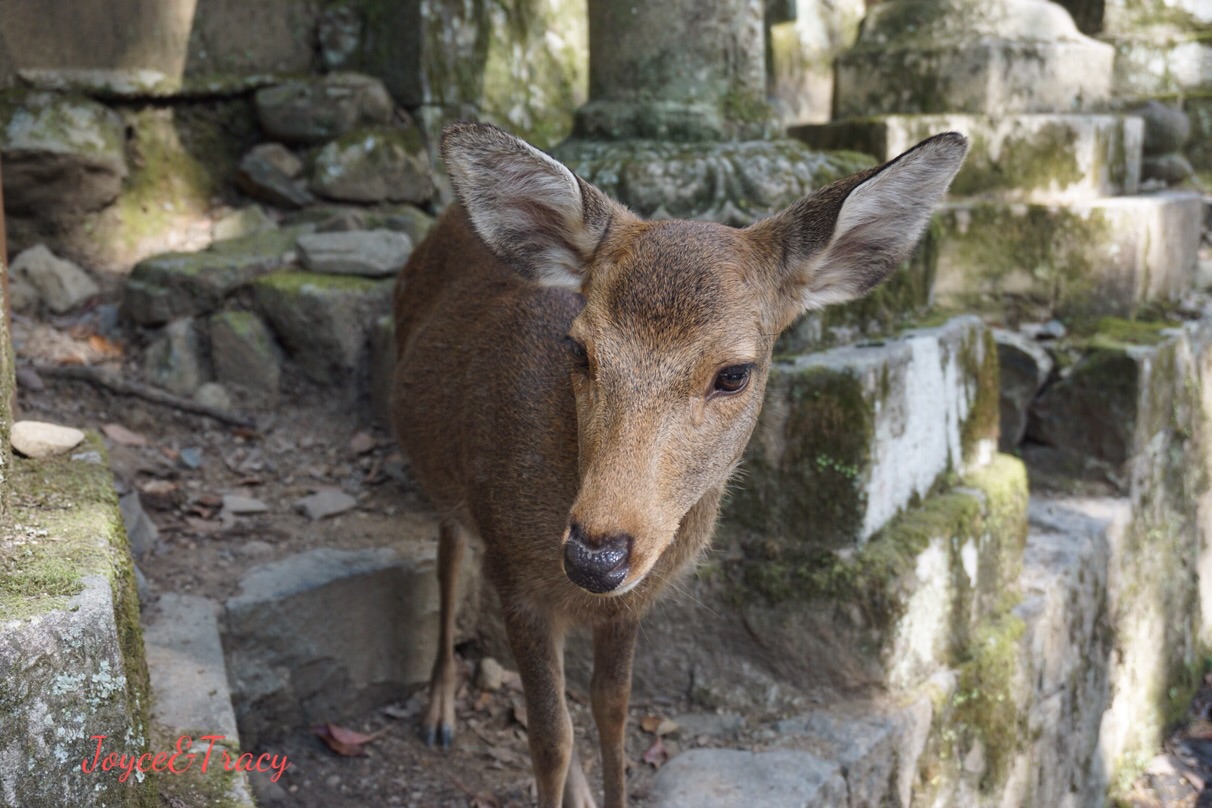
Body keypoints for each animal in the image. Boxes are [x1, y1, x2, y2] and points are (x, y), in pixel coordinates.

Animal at [392, 121, 969, 808]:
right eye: (578, 349)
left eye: (734, 373)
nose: (595, 555)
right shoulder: (513, 571)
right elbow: (549, 740)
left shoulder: (629, 603)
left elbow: (611, 712)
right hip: (447, 485)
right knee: (449, 562)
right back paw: (438, 715)